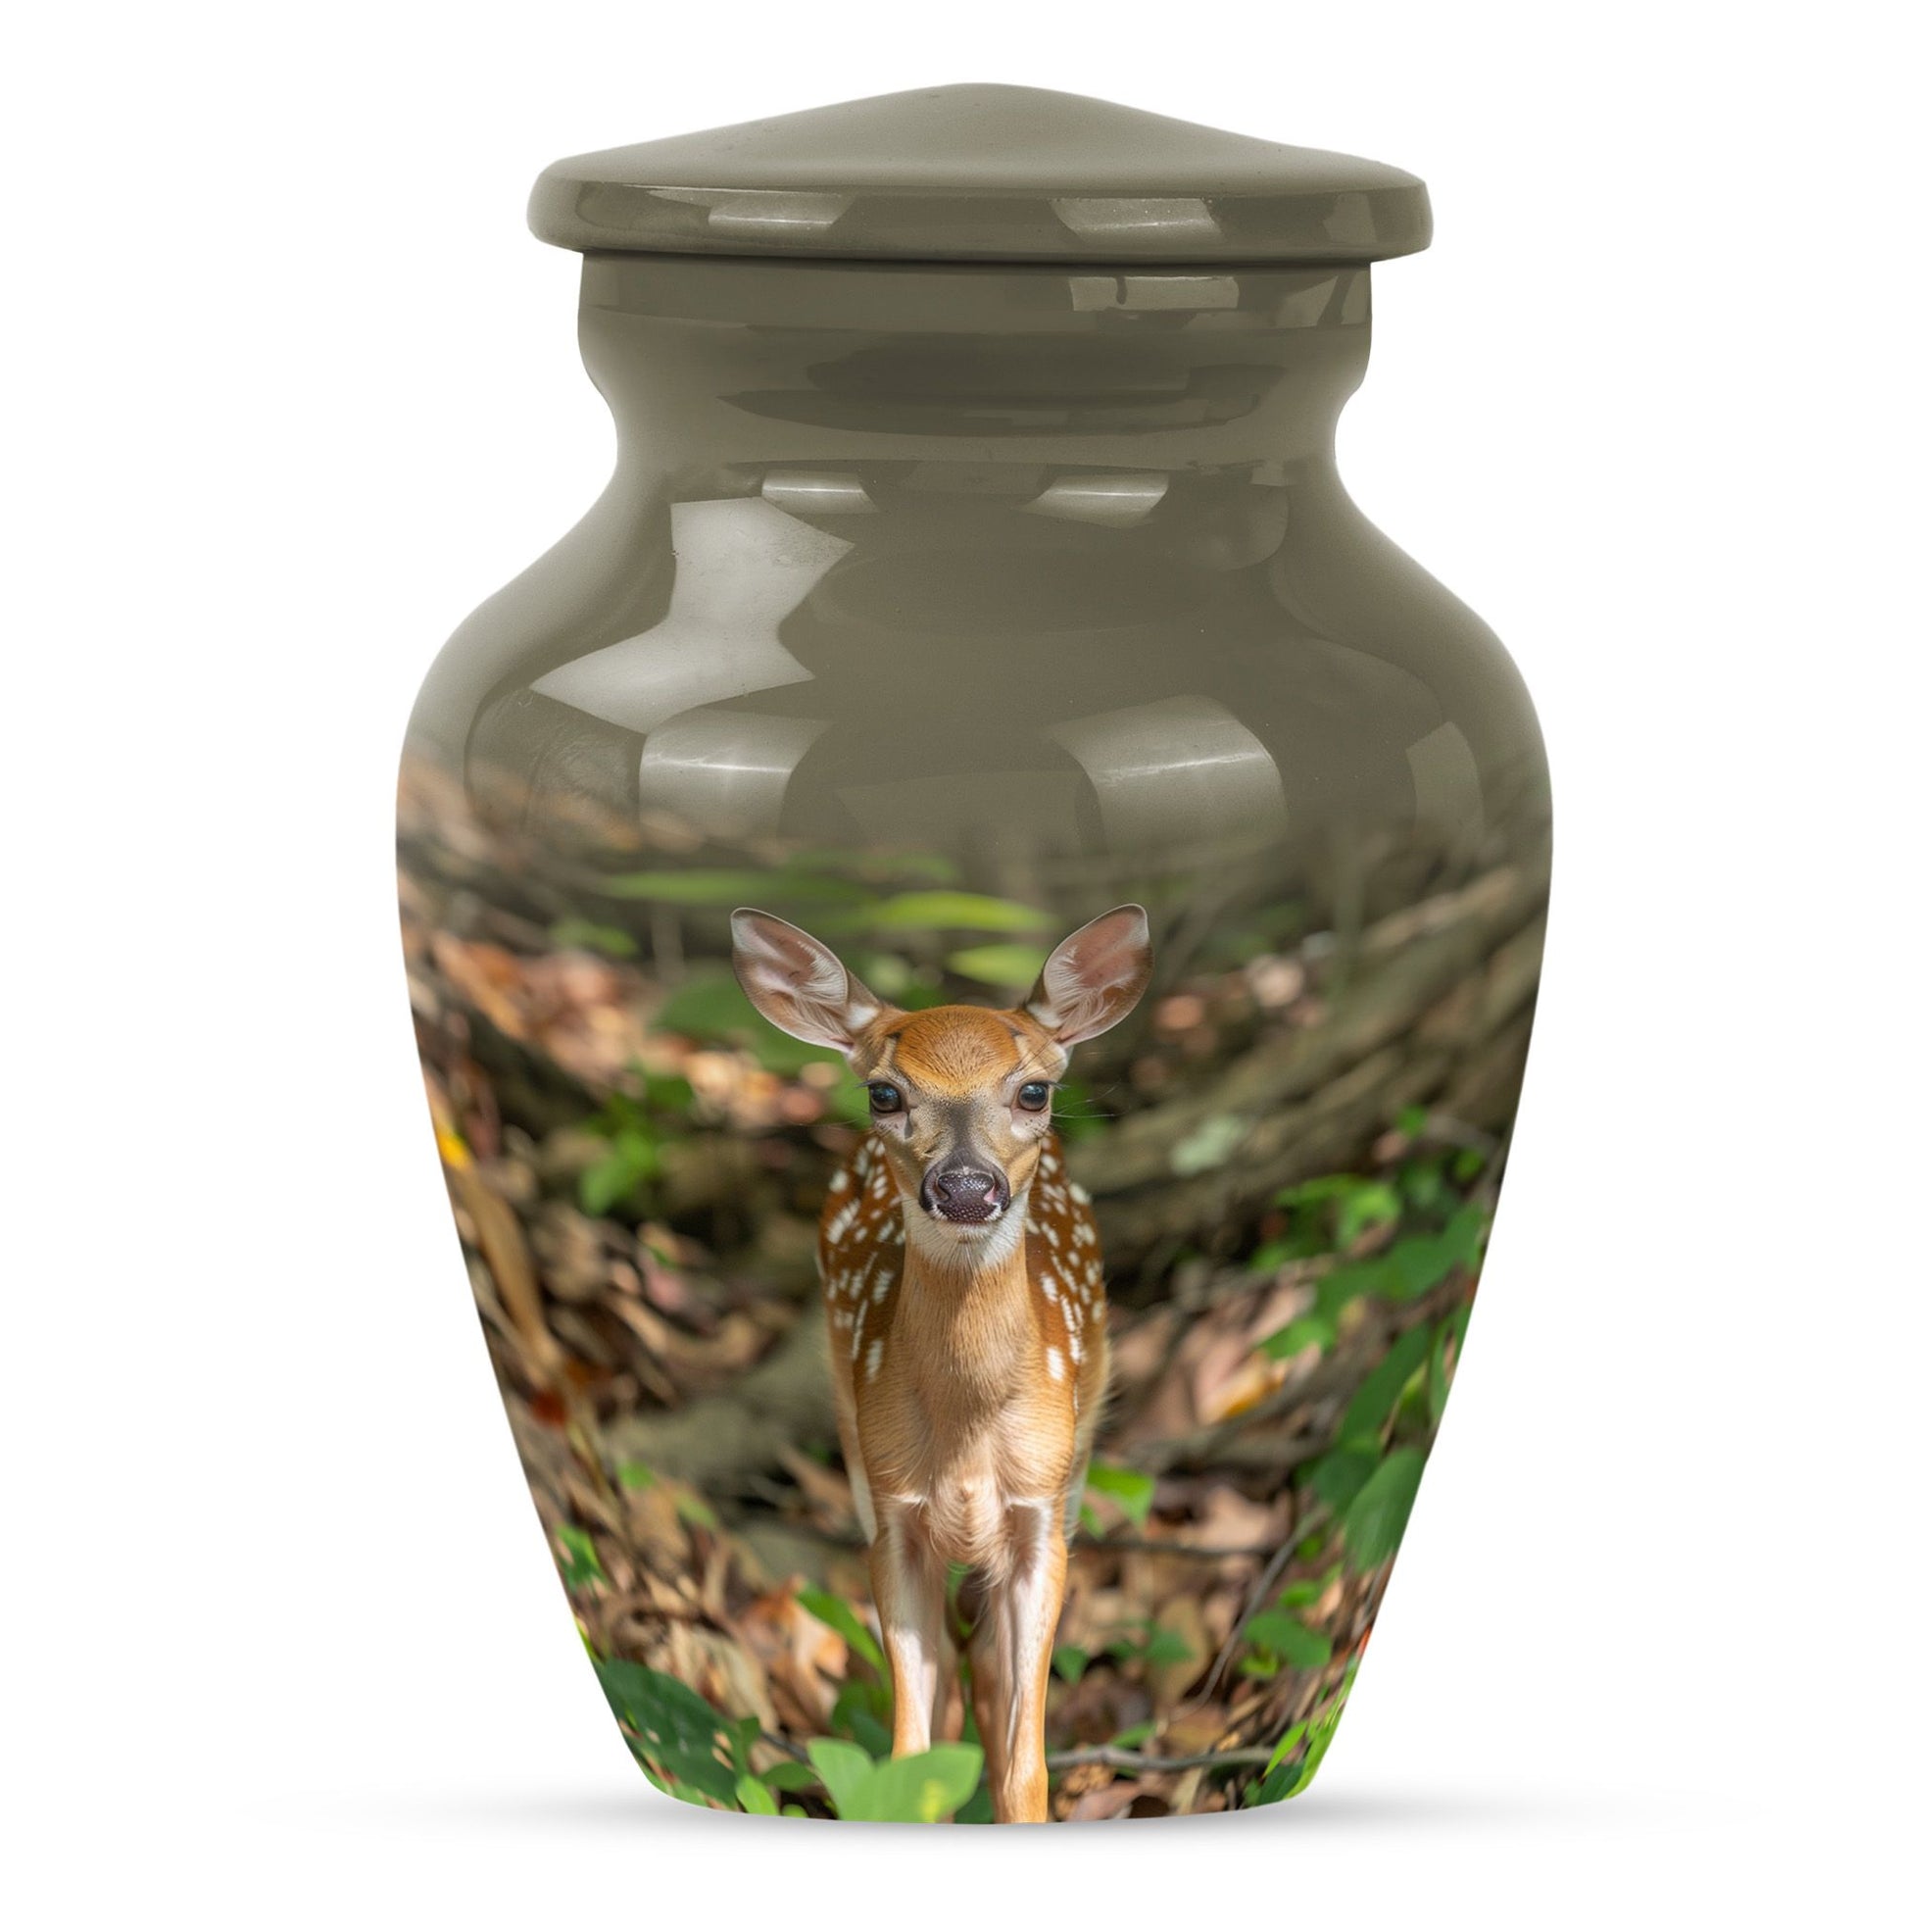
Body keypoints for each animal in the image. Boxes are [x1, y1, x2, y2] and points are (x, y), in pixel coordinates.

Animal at [730, 904, 1152, 1822]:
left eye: (1033, 1089)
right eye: (885, 1092)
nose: (964, 1187)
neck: (968, 1430)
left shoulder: (1039, 1510)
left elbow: (1024, 1763)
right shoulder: (893, 1512)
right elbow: (911, 1755)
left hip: (1077, 1462)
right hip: (852, 1438)